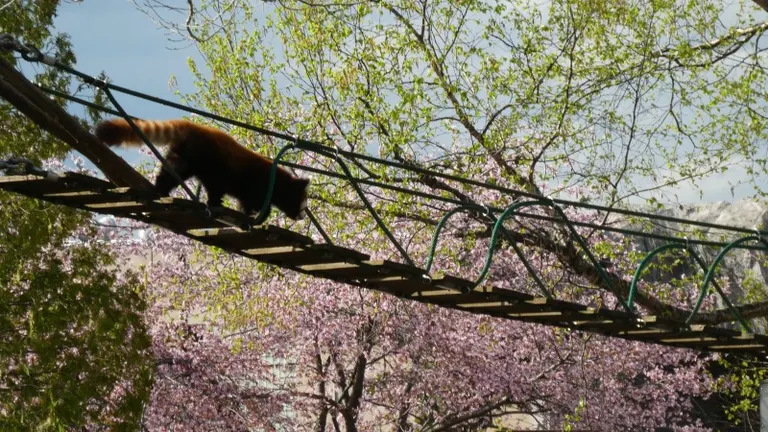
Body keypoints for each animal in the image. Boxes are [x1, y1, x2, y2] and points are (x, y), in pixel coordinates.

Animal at [95, 117, 308, 221]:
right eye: (303, 204)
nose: (302, 216)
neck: (278, 181)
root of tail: (194, 127)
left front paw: (250, 214)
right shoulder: (256, 183)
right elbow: (253, 201)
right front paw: (258, 215)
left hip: (185, 156)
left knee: (172, 172)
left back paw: (161, 189)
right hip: (209, 160)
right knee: (214, 184)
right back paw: (214, 203)